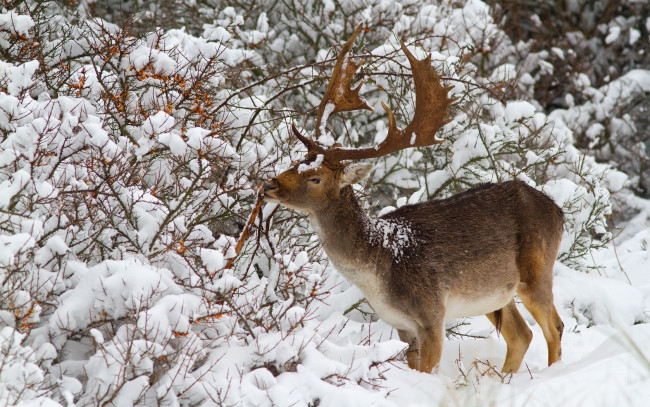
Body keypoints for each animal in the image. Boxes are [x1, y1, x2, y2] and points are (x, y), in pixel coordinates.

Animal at [260, 25, 560, 374]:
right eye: (297, 162)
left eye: (315, 178)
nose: (269, 185)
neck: (379, 269)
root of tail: (558, 211)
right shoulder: (401, 325)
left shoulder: (431, 313)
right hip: (496, 293)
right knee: (521, 334)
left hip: (538, 269)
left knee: (554, 327)